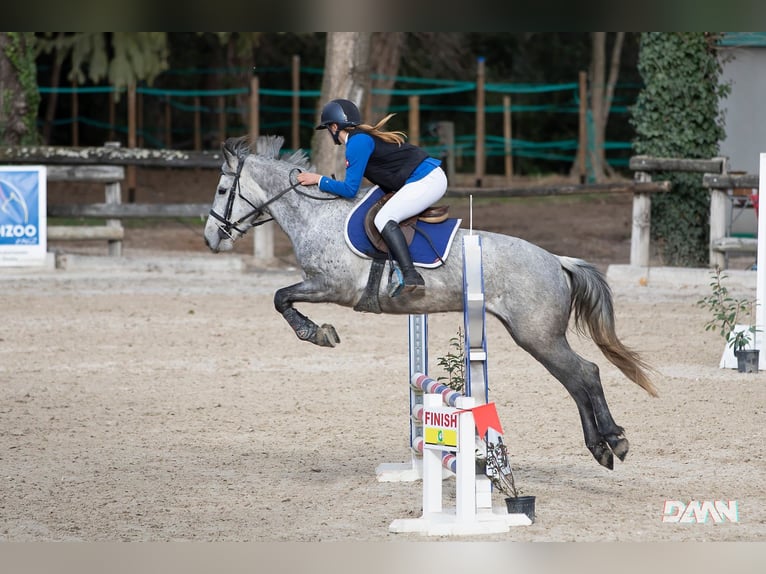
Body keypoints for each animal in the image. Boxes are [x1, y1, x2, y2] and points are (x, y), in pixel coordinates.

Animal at [204, 135, 657, 470]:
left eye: (224, 189)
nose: (210, 239)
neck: (316, 216)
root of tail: (557, 260)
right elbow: (281, 297)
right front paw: (319, 332)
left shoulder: (331, 286)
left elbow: (281, 297)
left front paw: (318, 333)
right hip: (536, 336)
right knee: (575, 380)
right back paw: (600, 448)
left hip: (538, 335)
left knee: (585, 374)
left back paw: (614, 441)